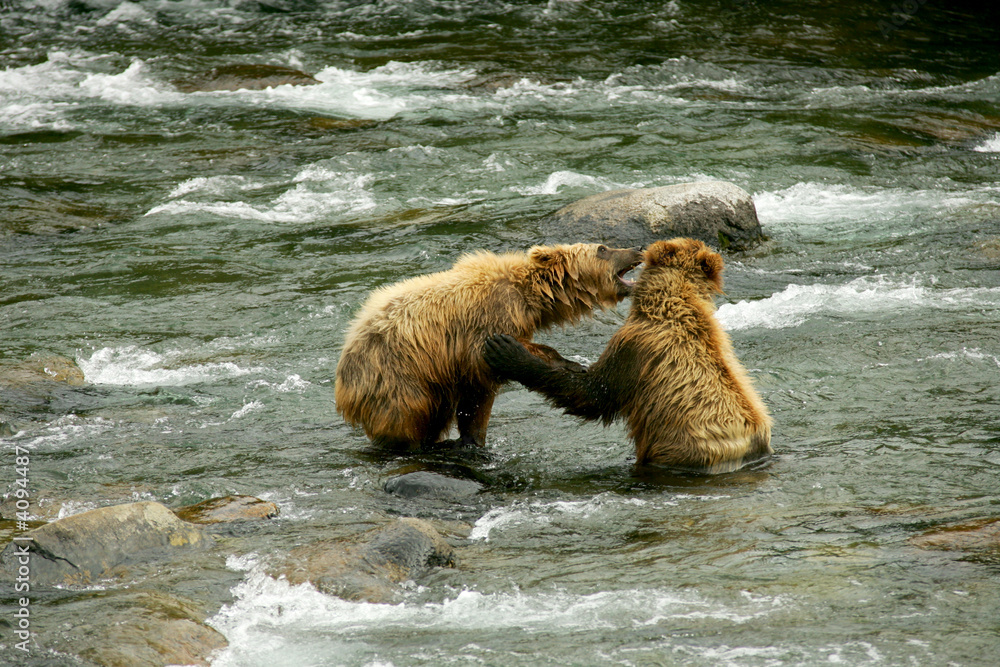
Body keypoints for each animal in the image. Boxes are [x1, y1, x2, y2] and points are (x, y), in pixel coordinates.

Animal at [334, 243, 643, 450]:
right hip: (395, 379)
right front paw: (568, 362)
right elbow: (483, 370)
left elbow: (475, 398)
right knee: (407, 418)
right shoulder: (486, 322)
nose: (637, 249)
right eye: (603, 248)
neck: (529, 297)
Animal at [483, 237, 772, 472]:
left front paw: (508, 352)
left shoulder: (634, 347)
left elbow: (594, 393)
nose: (639, 246)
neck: (671, 300)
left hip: (675, 448)